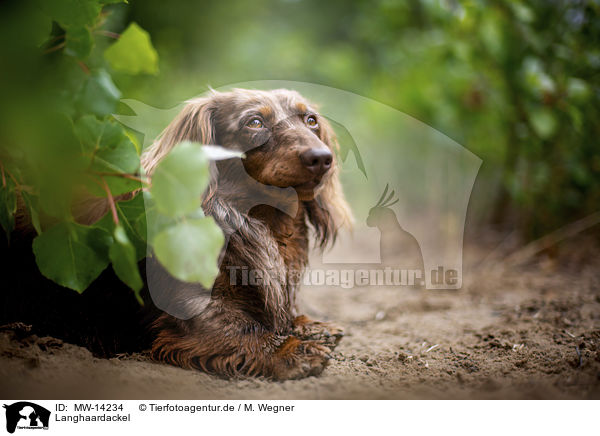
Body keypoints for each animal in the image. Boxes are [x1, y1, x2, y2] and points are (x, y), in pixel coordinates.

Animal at [142, 90, 352, 380]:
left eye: (311, 120)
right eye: (254, 122)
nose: (322, 158)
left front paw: (308, 326)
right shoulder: (187, 305)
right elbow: (245, 328)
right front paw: (292, 350)